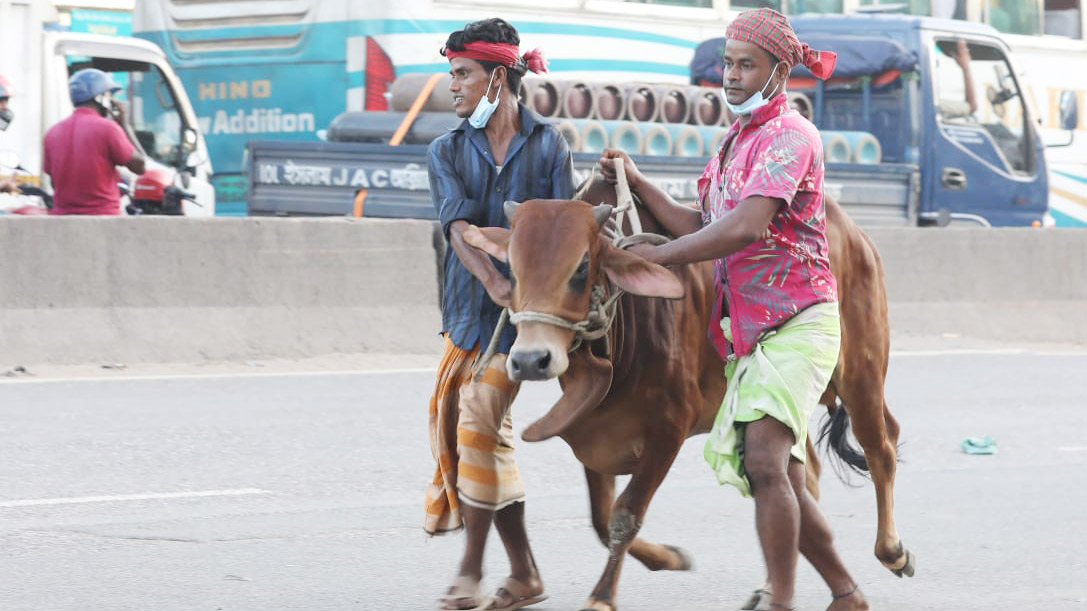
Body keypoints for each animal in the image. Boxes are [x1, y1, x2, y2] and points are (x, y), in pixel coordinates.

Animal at [463, 185, 913, 608]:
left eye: (582, 268)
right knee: (804, 479)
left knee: (882, 444)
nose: (529, 360)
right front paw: (668, 557)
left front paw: (602, 595)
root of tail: (850, 230)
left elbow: (625, 515)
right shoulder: (592, 433)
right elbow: (601, 518)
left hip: (861, 372)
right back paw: (773, 584)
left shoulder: (668, 430)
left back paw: (891, 550)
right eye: (512, 270)